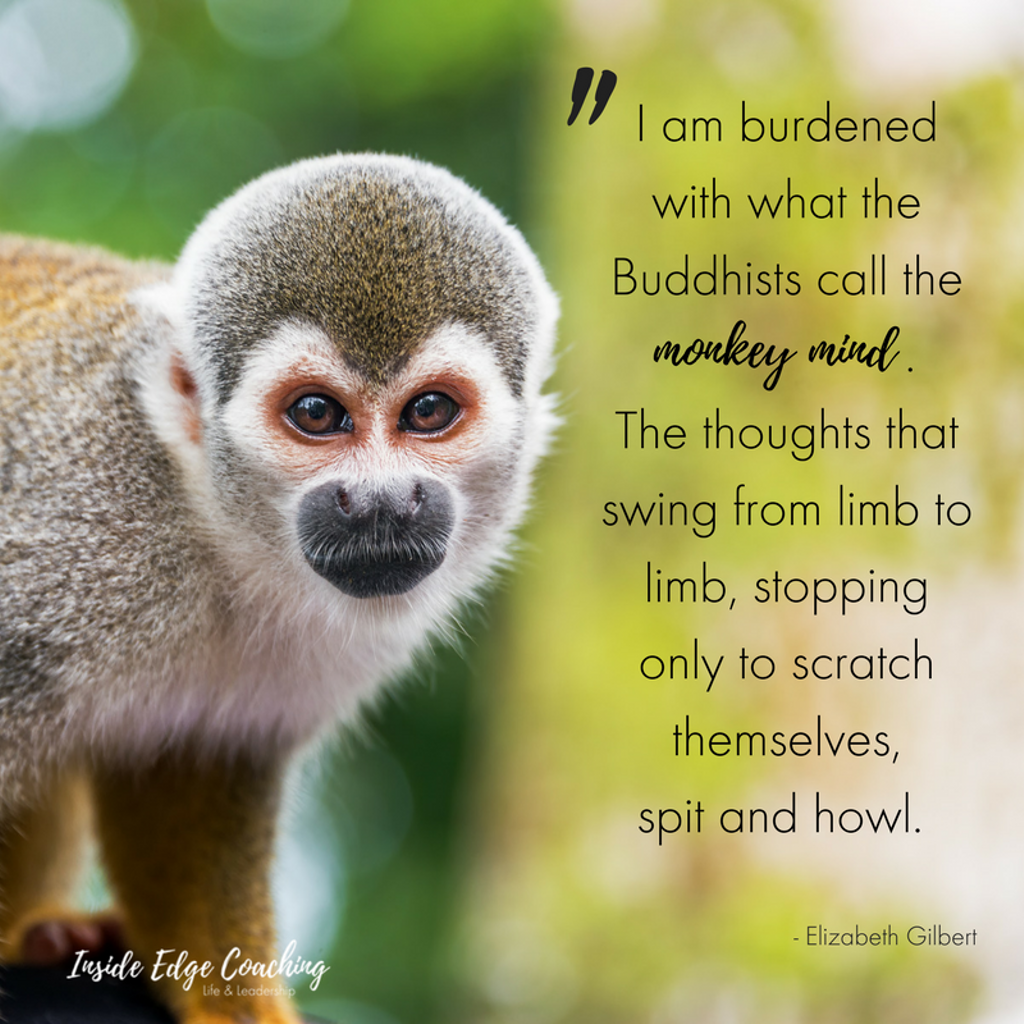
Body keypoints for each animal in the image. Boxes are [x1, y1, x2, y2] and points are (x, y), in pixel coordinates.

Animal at [0, 153, 558, 1023]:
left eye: (429, 411)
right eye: (317, 414)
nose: (381, 502)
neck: (215, 535)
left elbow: (192, 776)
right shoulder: (65, 532)